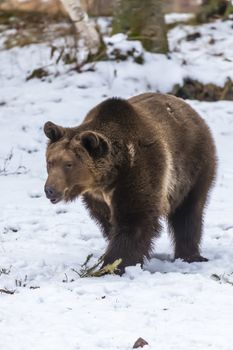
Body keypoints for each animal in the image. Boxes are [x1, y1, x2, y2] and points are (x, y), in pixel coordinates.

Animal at [43, 92, 217, 274]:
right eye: (50, 162)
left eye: (69, 164)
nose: (50, 189)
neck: (108, 178)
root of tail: (191, 110)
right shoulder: (97, 197)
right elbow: (109, 222)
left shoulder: (139, 171)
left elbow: (133, 220)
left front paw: (112, 265)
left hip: (193, 168)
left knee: (188, 211)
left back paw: (189, 255)